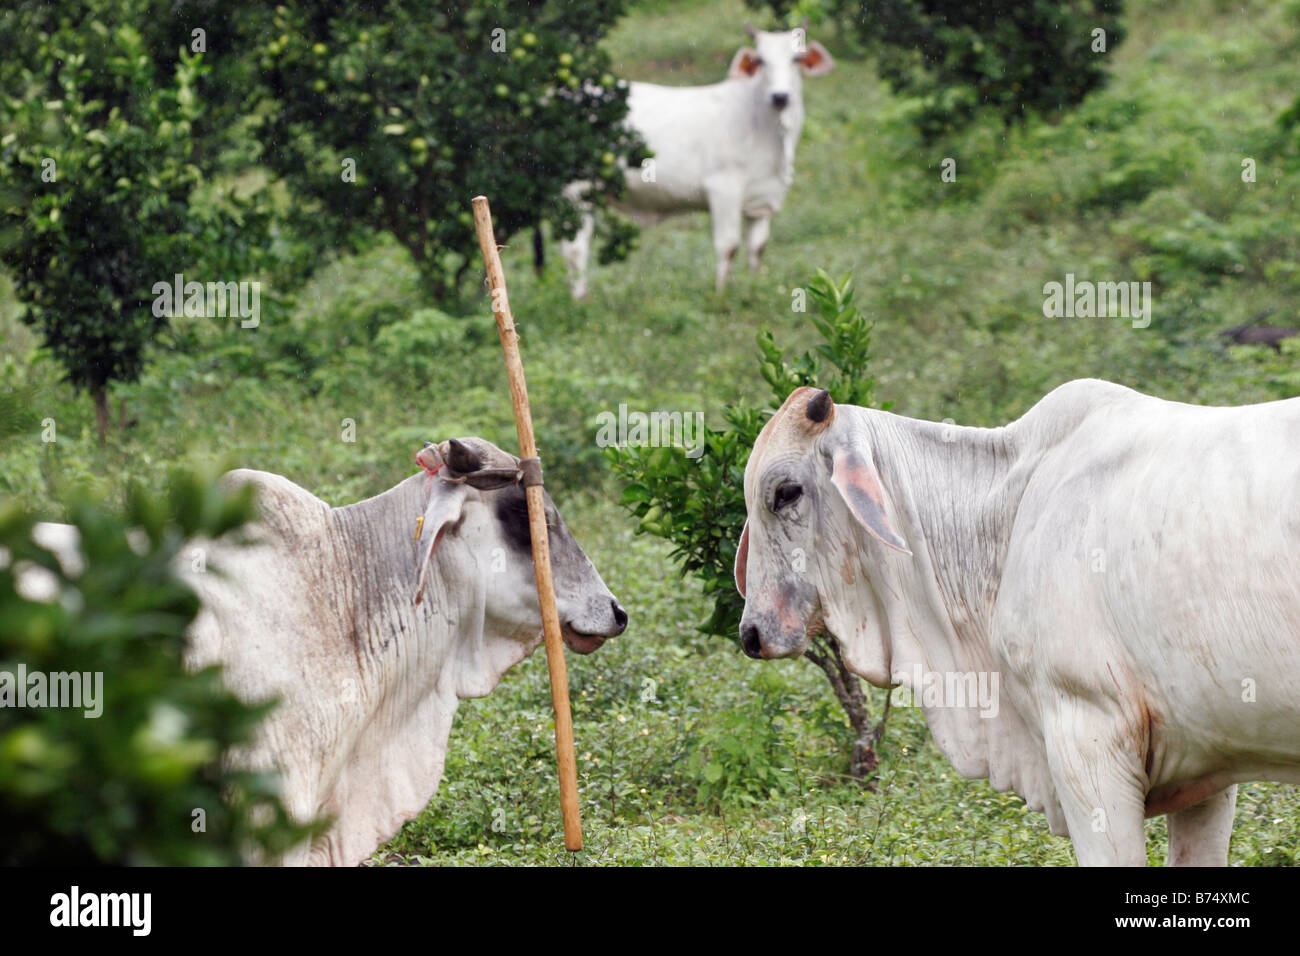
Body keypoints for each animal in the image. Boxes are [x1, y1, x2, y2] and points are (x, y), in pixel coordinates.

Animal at [560, 23, 833, 299]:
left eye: (796, 58)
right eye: (760, 60)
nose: (780, 96)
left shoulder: (764, 201)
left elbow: (757, 248)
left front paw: (752, 289)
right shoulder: (723, 189)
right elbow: (728, 246)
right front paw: (721, 295)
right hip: (577, 191)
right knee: (575, 249)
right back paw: (580, 299)